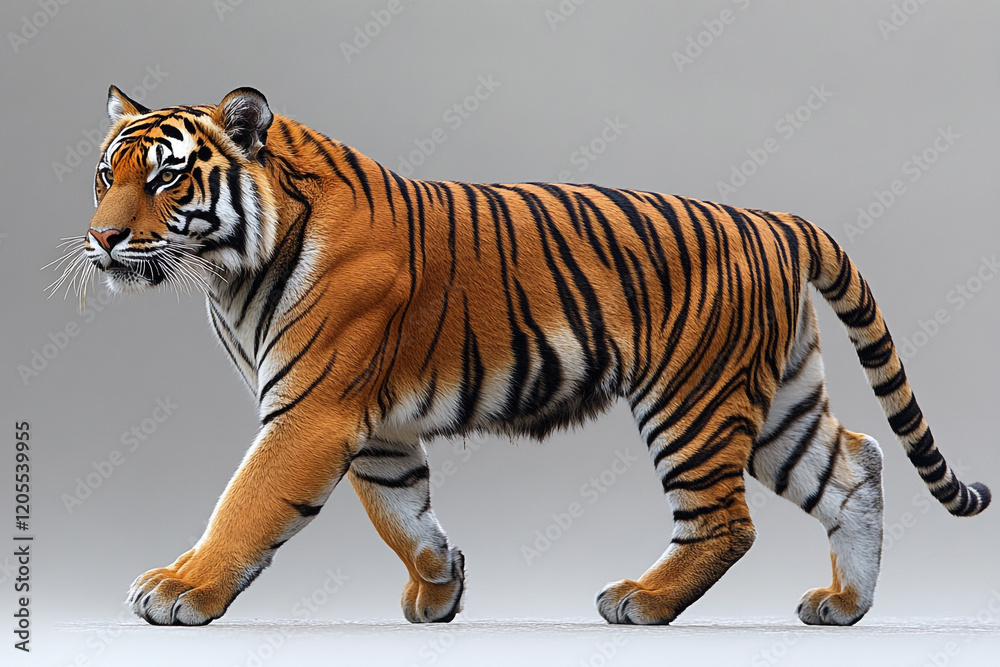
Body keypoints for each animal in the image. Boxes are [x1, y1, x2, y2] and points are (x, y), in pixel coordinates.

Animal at [67, 85, 989, 627]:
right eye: (106, 175)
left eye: (165, 179)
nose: (101, 237)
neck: (231, 271)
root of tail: (777, 220)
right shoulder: (373, 426)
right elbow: (401, 511)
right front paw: (441, 584)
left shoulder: (312, 411)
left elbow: (247, 501)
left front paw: (180, 587)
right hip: (775, 405)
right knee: (857, 464)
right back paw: (847, 603)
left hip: (691, 399)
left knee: (727, 520)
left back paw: (642, 599)